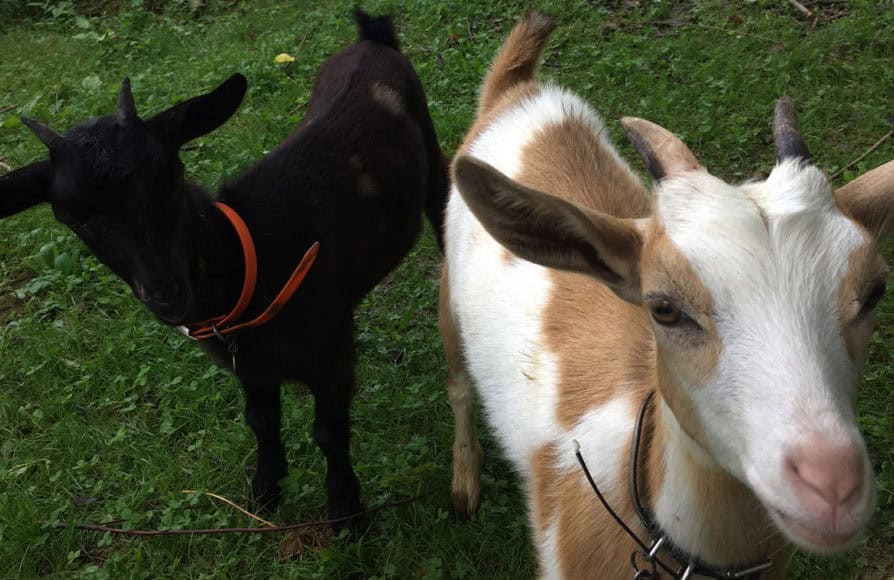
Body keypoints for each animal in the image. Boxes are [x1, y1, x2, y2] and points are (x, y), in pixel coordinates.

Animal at [0, 10, 448, 526]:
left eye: (172, 175)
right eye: (71, 216)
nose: (165, 289)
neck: (251, 259)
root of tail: (372, 37)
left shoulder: (333, 349)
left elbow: (328, 434)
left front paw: (345, 512)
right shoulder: (250, 366)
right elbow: (261, 422)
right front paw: (264, 493)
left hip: (431, 153)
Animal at [441, 10, 893, 578]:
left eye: (875, 291)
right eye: (664, 309)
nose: (831, 487)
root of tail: (517, 90)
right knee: (459, 384)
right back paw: (464, 483)